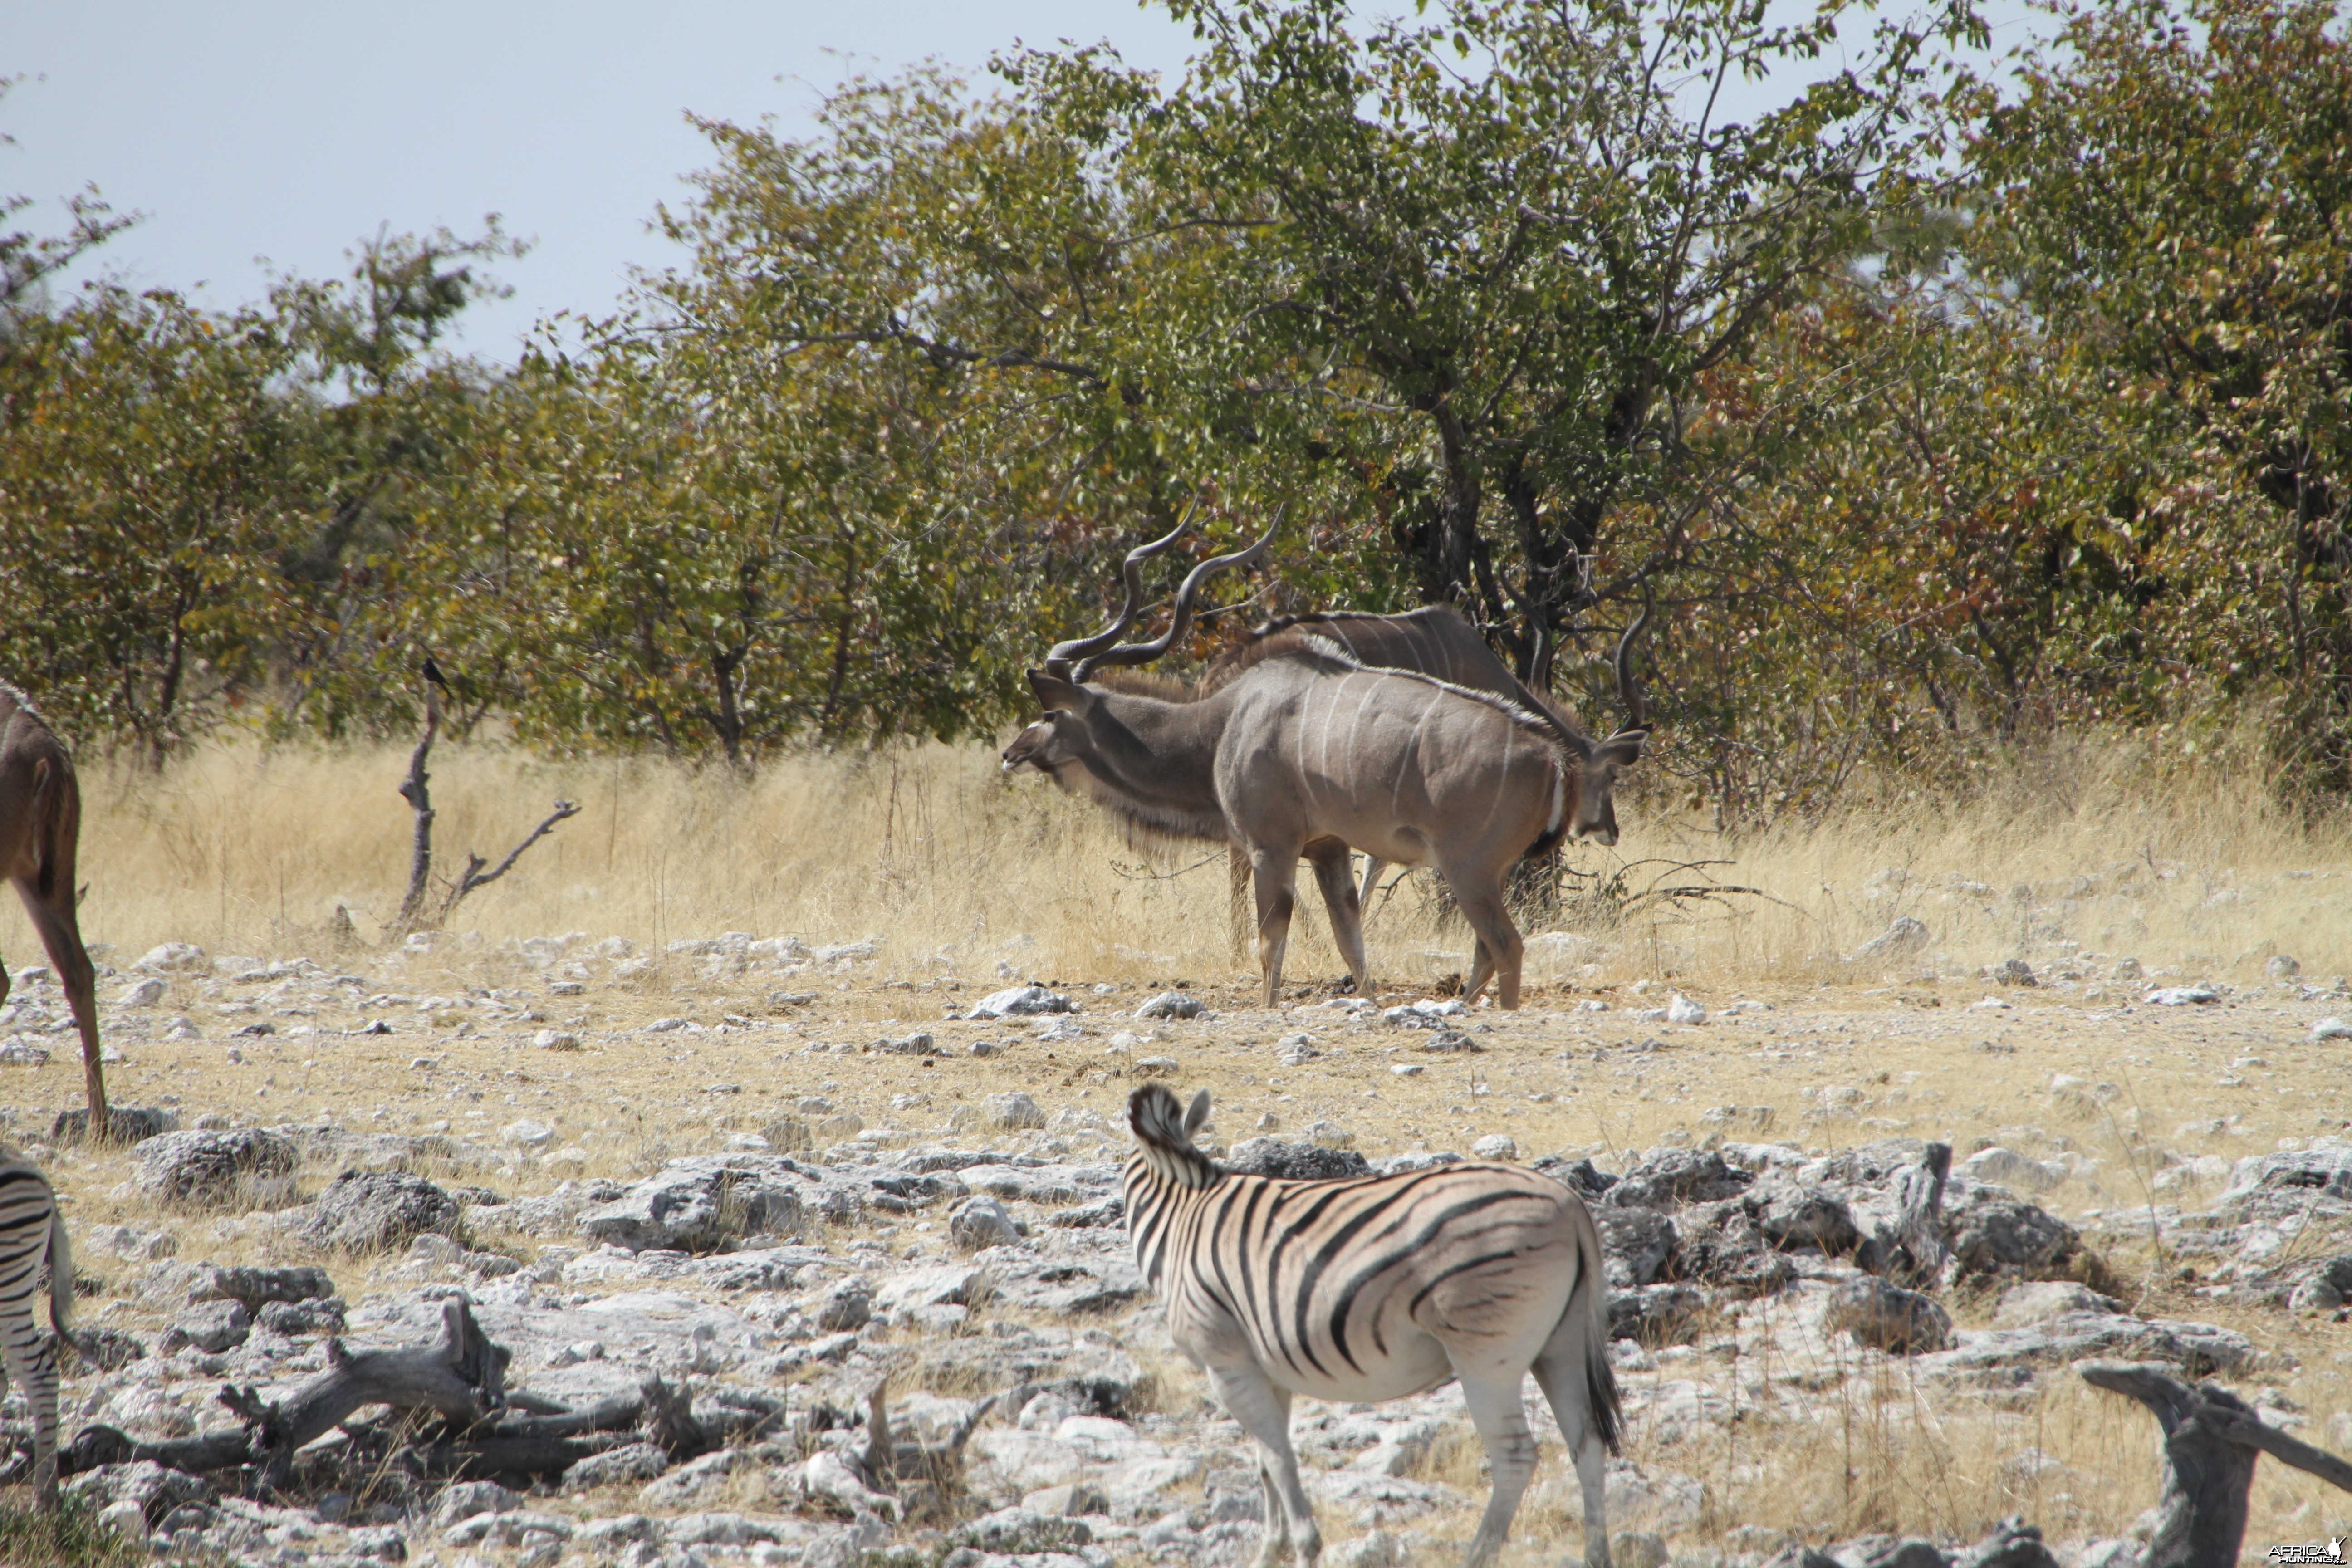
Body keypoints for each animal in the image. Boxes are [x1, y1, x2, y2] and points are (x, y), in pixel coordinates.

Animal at [1006, 526, 1656, 1006]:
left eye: (1048, 713)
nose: (1013, 752)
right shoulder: (1329, 849)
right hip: (1487, 873)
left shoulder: (1272, 846)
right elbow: (1353, 945)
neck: (1224, 720)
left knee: (1507, 948)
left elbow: (1270, 949)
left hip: (1467, 868)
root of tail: (1551, 758)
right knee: (1485, 953)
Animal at [1119, 1086, 1618, 1568]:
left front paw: (1305, 1548)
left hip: (1487, 1357)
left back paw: (1478, 1555)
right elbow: (1265, 1462)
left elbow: (1279, 1460)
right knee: (1588, 1443)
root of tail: (1570, 1203)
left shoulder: (1227, 1365)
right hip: (1561, 1346)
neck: (1181, 1215)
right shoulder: (1262, 1371)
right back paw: (1596, 1556)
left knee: (1516, 1456)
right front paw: (1269, 1552)